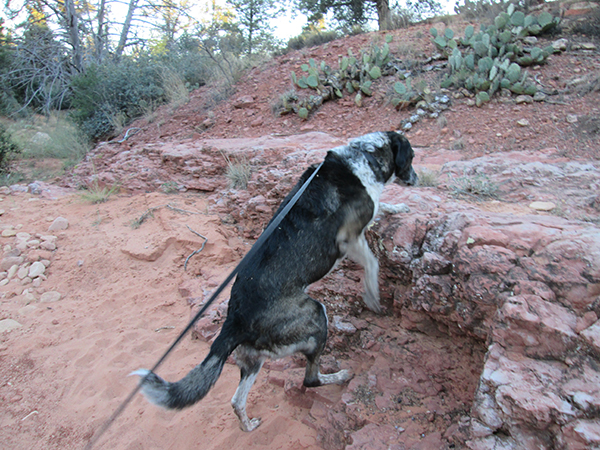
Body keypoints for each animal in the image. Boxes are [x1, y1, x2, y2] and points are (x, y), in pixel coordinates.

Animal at [132, 131, 417, 432]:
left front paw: (398, 206)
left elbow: (382, 207)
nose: (417, 179)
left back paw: (248, 425)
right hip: (316, 314)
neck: (364, 155)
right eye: (411, 157)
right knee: (310, 378)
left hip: (253, 360)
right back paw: (339, 376)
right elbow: (373, 262)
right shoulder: (348, 237)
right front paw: (372, 295)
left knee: (236, 400)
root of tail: (233, 321)